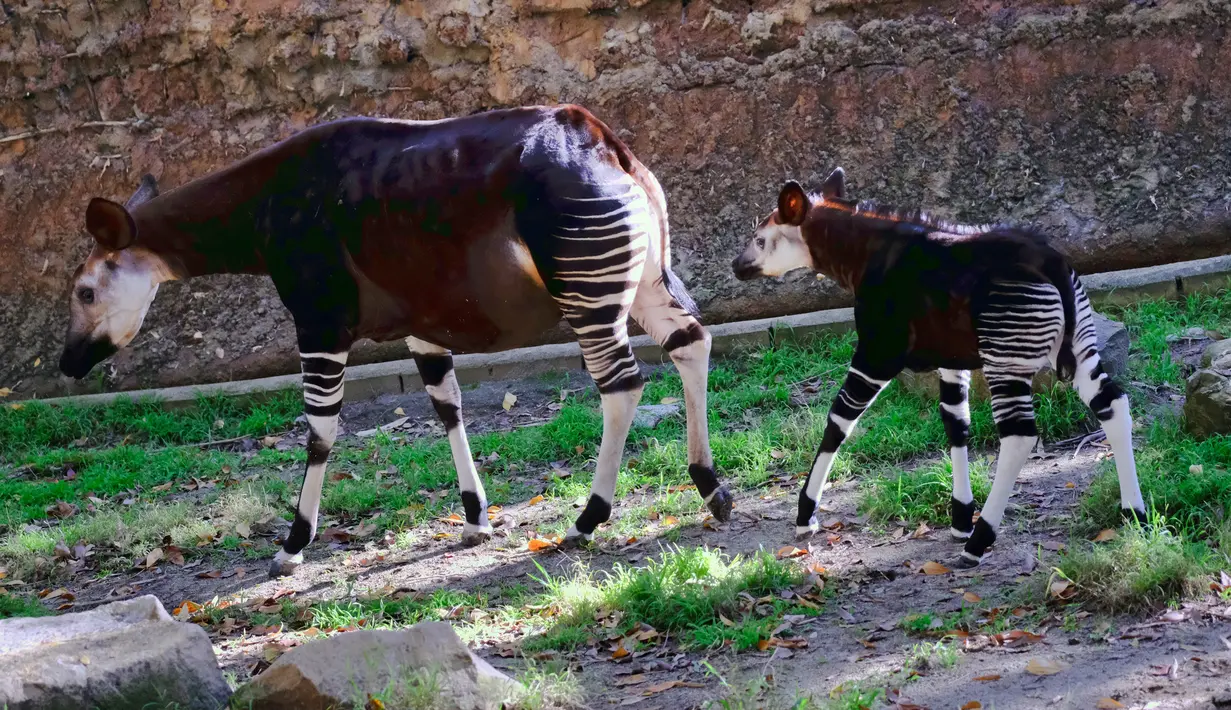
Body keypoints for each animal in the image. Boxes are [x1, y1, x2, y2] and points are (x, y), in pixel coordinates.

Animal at [58, 105, 733, 577]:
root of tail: (608, 146)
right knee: (690, 342)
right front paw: (475, 519)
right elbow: (446, 406)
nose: (67, 364)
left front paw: (292, 546)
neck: (262, 210)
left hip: (585, 290)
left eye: (84, 292)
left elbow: (320, 429)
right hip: (640, 279)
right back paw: (713, 488)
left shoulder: (320, 319)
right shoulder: (420, 323)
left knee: (622, 384)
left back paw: (587, 520)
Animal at [730, 168, 1146, 567]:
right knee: (1113, 404)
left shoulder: (877, 352)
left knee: (1019, 436)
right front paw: (961, 519)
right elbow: (956, 423)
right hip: (1079, 346)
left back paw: (979, 544)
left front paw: (806, 514)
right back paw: (1134, 514)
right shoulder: (952, 361)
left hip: (1006, 355)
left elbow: (838, 420)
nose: (736, 266)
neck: (864, 255)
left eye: (759, 239)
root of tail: (1053, 262)